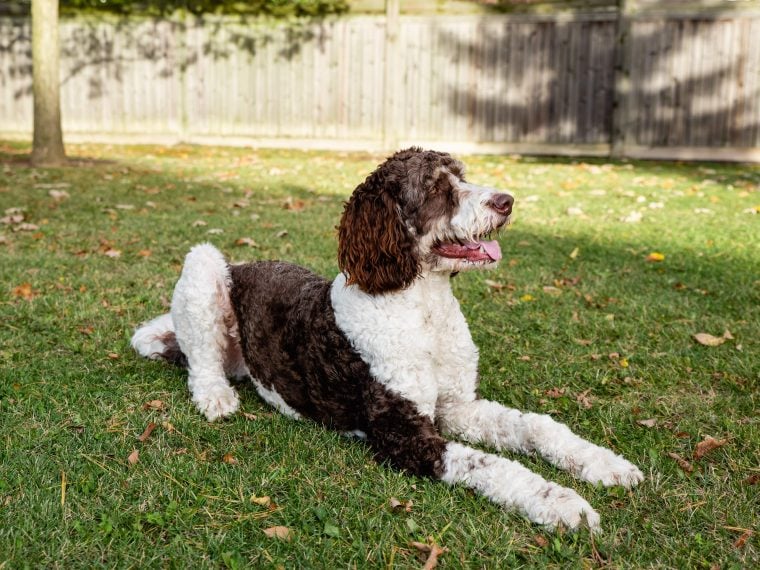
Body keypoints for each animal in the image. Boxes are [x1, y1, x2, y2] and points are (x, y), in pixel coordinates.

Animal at [131, 149, 640, 532]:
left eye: (462, 176)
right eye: (435, 190)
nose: (507, 201)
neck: (424, 309)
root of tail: (243, 266)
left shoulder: (457, 406)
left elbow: (537, 427)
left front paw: (603, 463)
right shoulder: (404, 433)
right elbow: (491, 465)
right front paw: (561, 502)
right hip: (204, 264)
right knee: (201, 360)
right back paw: (215, 398)